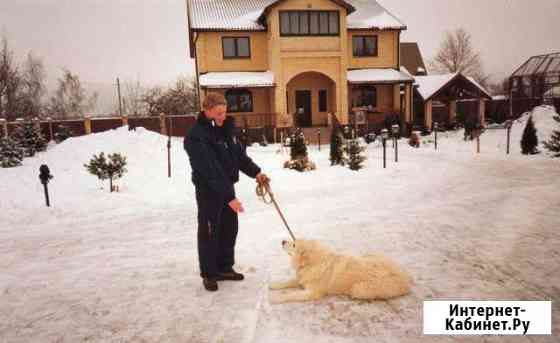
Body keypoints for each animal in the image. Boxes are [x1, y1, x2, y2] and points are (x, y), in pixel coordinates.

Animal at [270, 239, 412, 304]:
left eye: (294, 245)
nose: (282, 241)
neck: (315, 262)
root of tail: (405, 279)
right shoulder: (302, 277)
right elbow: (289, 281)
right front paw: (274, 285)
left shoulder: (312, 293)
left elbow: (292, 294)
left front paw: (276, 298)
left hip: (359, 289)